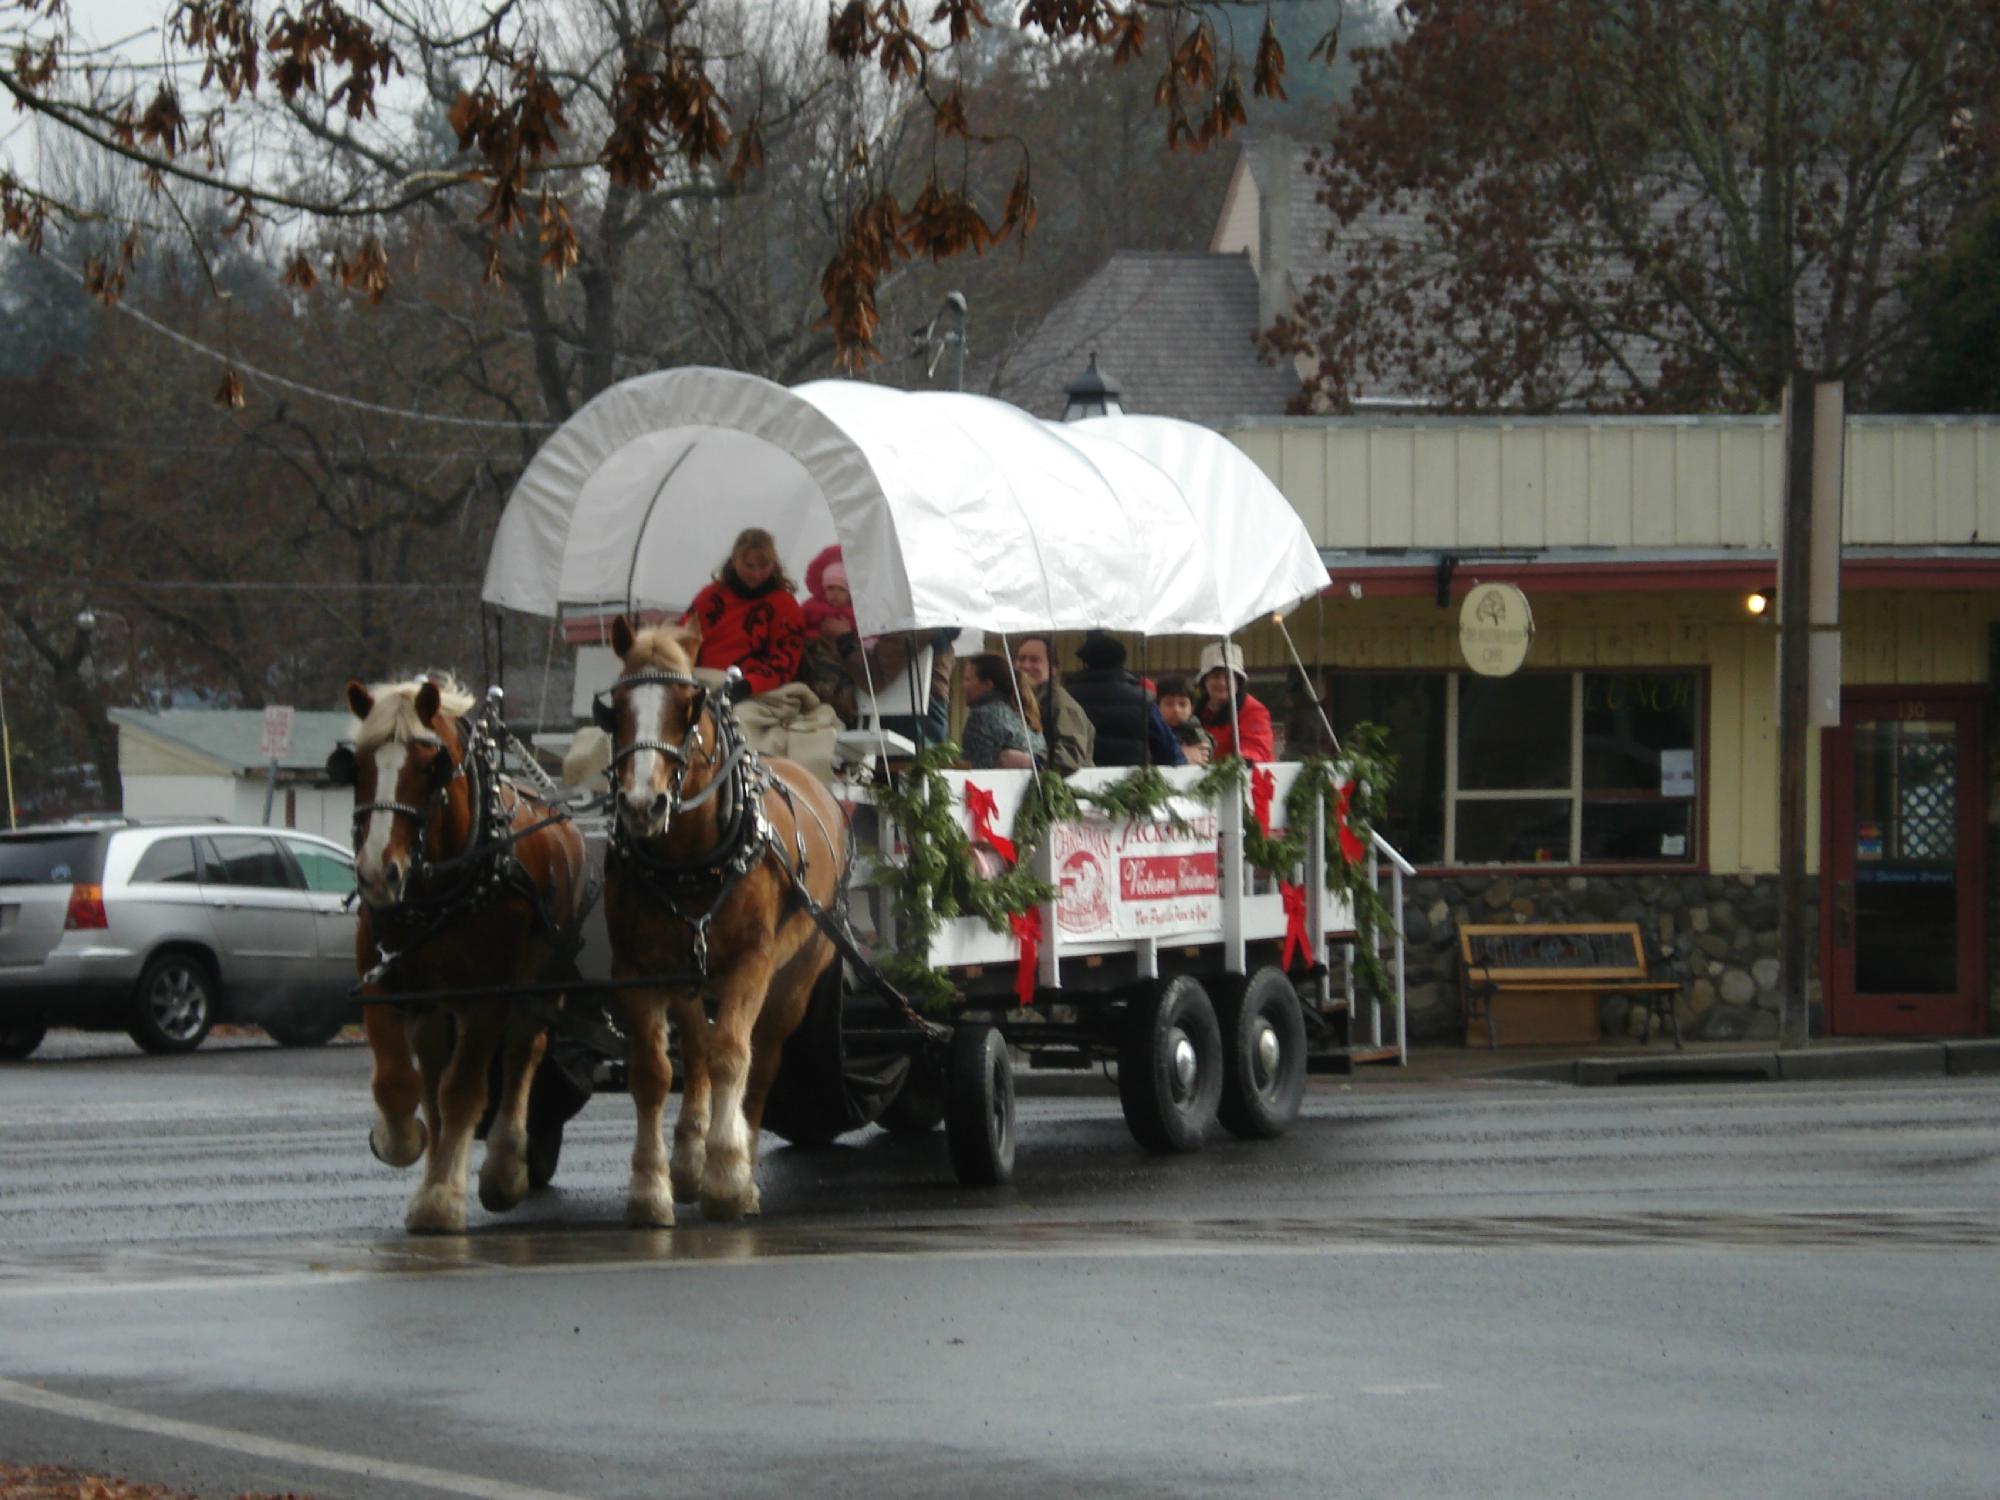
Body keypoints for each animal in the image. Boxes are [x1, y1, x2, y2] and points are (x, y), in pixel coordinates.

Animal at [344, 680, 588, 1232]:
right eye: (357, 766)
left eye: (428, 766)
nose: (377, 875)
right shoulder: (382, 978)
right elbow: (399, 1083)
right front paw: (401, 1142)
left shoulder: (488, 995)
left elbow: (463, 1091)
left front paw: (441, 1198)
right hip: (435, 1003)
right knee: (432, 1077)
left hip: (538, 987)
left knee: (523, 1054)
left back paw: (505, 1167)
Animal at [592, 616, 844, 1224]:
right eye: (615, 707)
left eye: (690, 706)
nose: (642, 804)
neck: (688, 858)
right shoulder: (640, 969)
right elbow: (655, 1072)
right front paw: (651, 1188)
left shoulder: (752, 963)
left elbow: (734, 1054)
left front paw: (728, 1176)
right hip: (691, 974)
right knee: (699, 1050)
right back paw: (690, 1158)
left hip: (797, 976)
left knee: (762, 1057)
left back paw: (740, 1161)